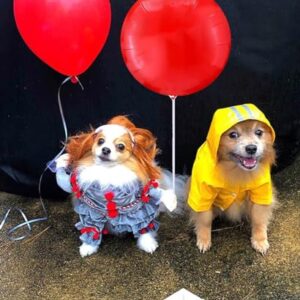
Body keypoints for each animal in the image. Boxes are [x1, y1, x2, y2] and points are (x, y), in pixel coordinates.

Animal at [189, 103, 276, 253]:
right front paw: (204, 239)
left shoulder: (260, 191)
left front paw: (259, 240)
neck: (235, 169)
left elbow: (259, 219)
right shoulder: (203, 194)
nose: (251, 148)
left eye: (259, 132)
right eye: (233, 135)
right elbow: (204, 219)